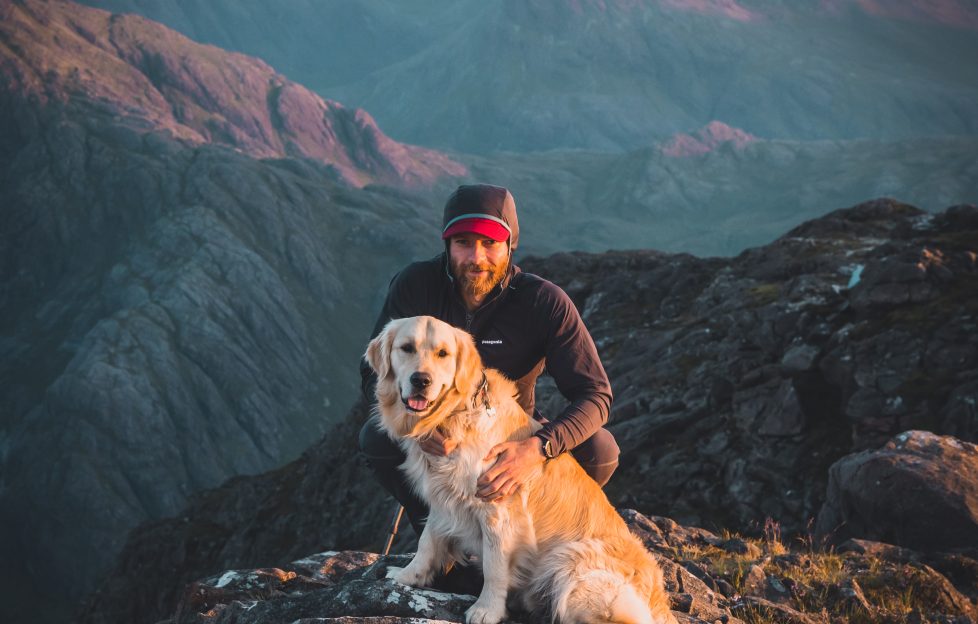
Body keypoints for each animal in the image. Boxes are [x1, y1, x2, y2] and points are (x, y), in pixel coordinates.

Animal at [362, 316, 676, 624]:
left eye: (443, 354)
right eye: (406, 348)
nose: (421, 380)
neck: (454, 415)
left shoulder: (497, 510)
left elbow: (494, 566)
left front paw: (487, 609)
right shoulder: (443, 494)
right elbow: (428, 540)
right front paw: (408, 576)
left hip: (570, 564)